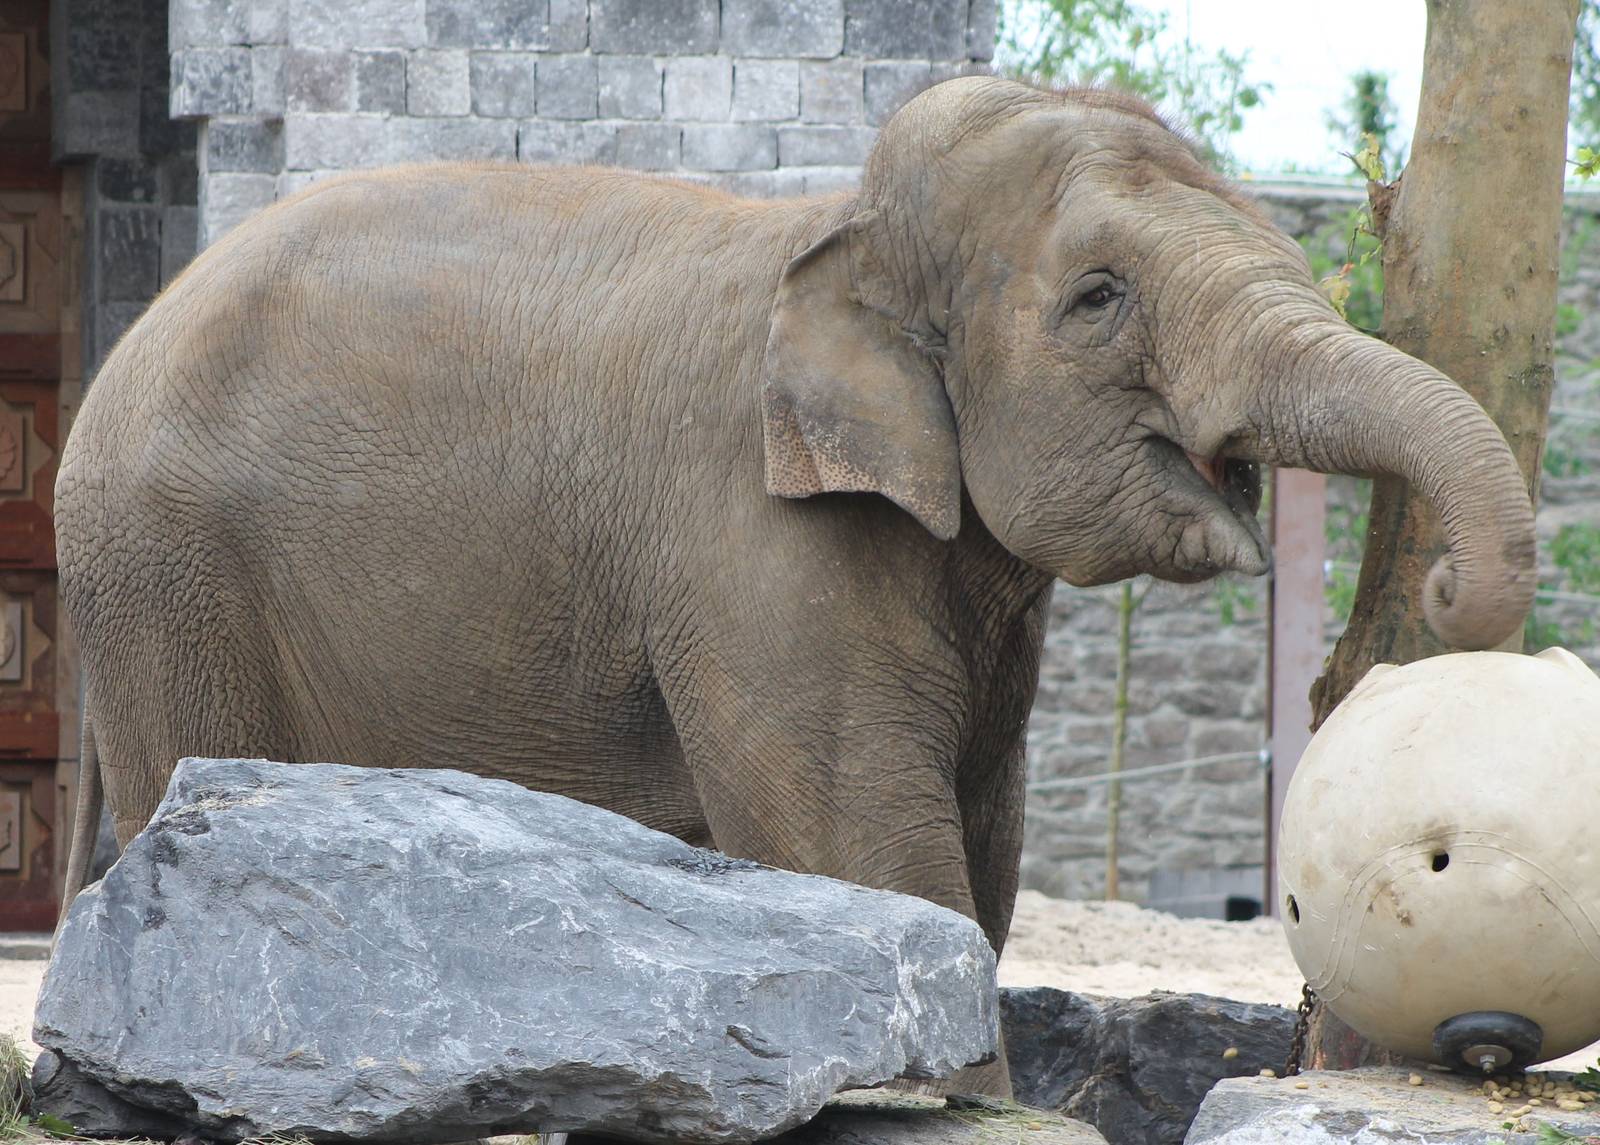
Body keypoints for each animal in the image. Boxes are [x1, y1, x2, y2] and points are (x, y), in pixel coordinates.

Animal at [55, 77, 1535, 1096]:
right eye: (1098, 297)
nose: (1448, 593)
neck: (838, 231)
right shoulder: (752, 542)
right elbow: (867, 838)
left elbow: (981, 833)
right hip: (169, 575)